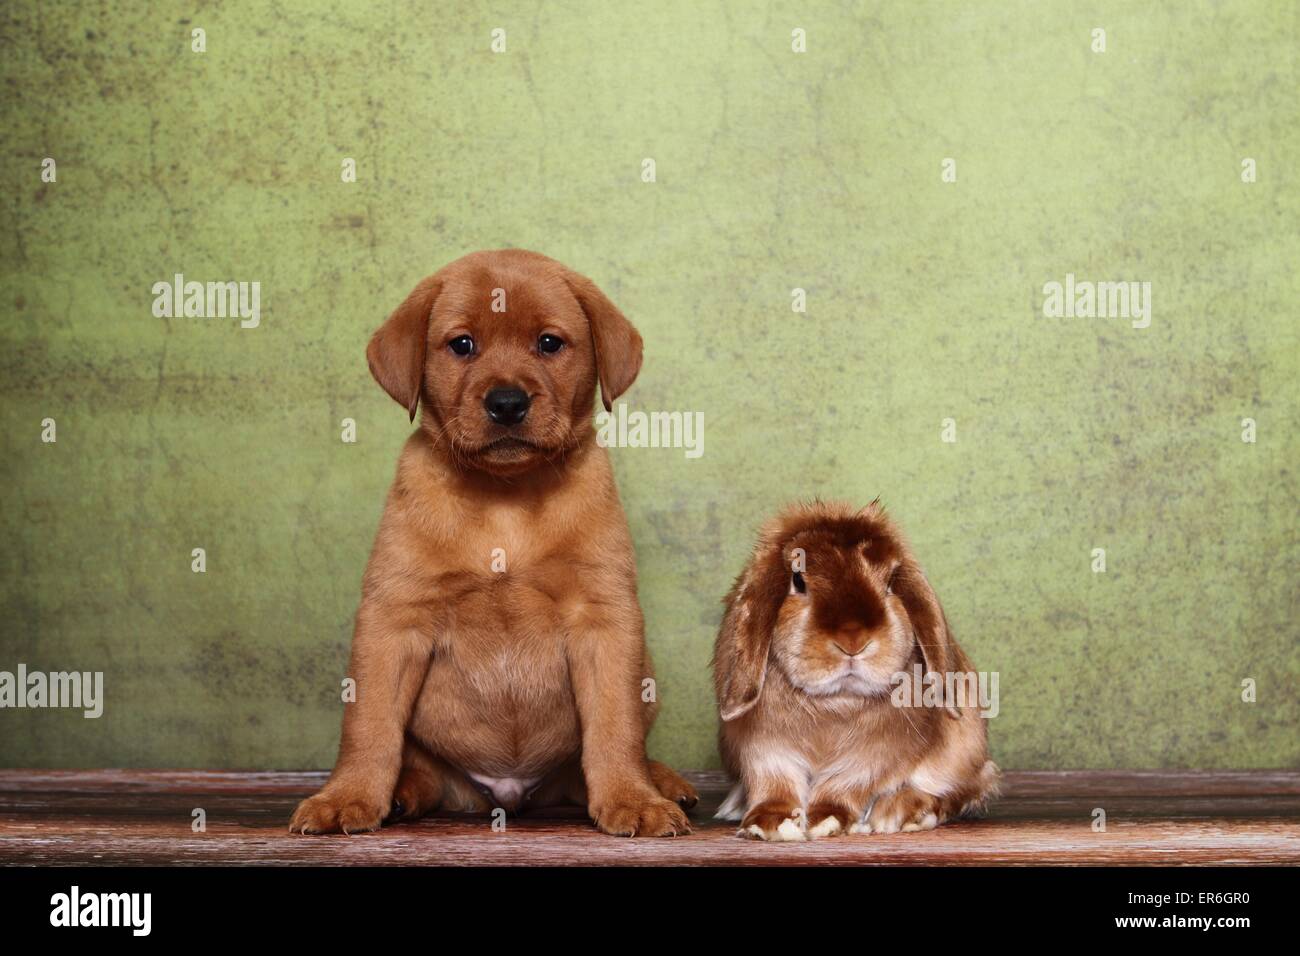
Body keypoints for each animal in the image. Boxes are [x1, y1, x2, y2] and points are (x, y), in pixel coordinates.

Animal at [289, 248, 696, 837]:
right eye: (462, 345)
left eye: (549, 343)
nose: (507, 403)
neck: (506, 497)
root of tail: (507, 791)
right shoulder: (393, 618)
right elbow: (368, 726)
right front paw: (347, 796)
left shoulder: (604, 619)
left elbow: (614, 728)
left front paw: (632, 797)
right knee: (422, 770)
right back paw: (401, 793)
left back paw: (660, 780)